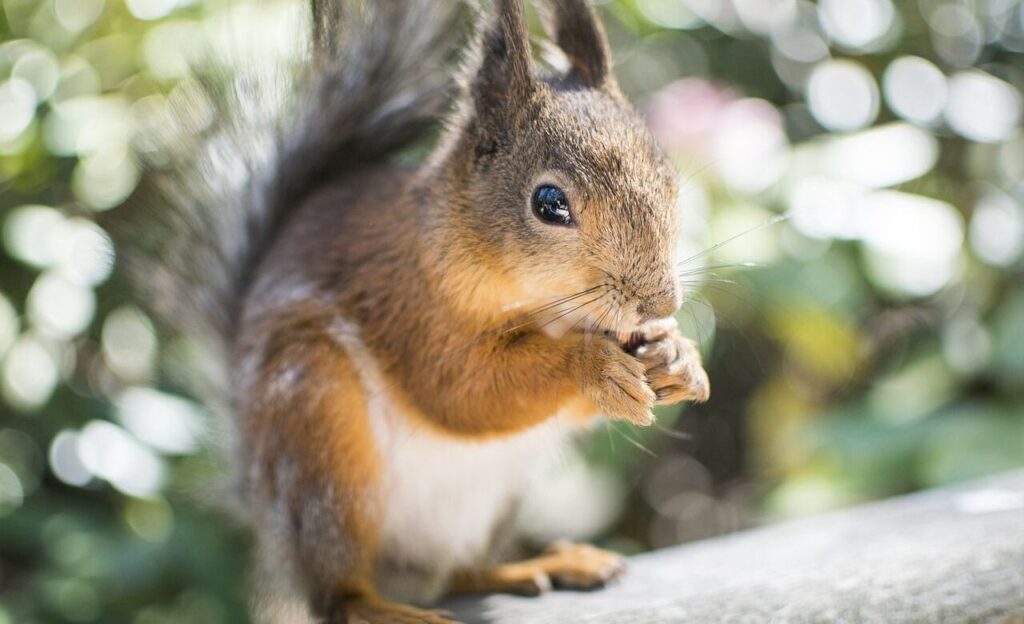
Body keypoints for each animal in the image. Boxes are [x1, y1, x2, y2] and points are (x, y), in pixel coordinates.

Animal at [120, 0, 710, 622]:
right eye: (549, 204)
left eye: (667, 176)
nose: (661, 303)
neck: (549, 309)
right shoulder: (411, 306)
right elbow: (462, 390)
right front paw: (592, 365)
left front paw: (680, 358)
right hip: (318, 436)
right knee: (336, 591)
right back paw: (381, 607)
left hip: (490, 503)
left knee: (458, 573)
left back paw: (538, 565)